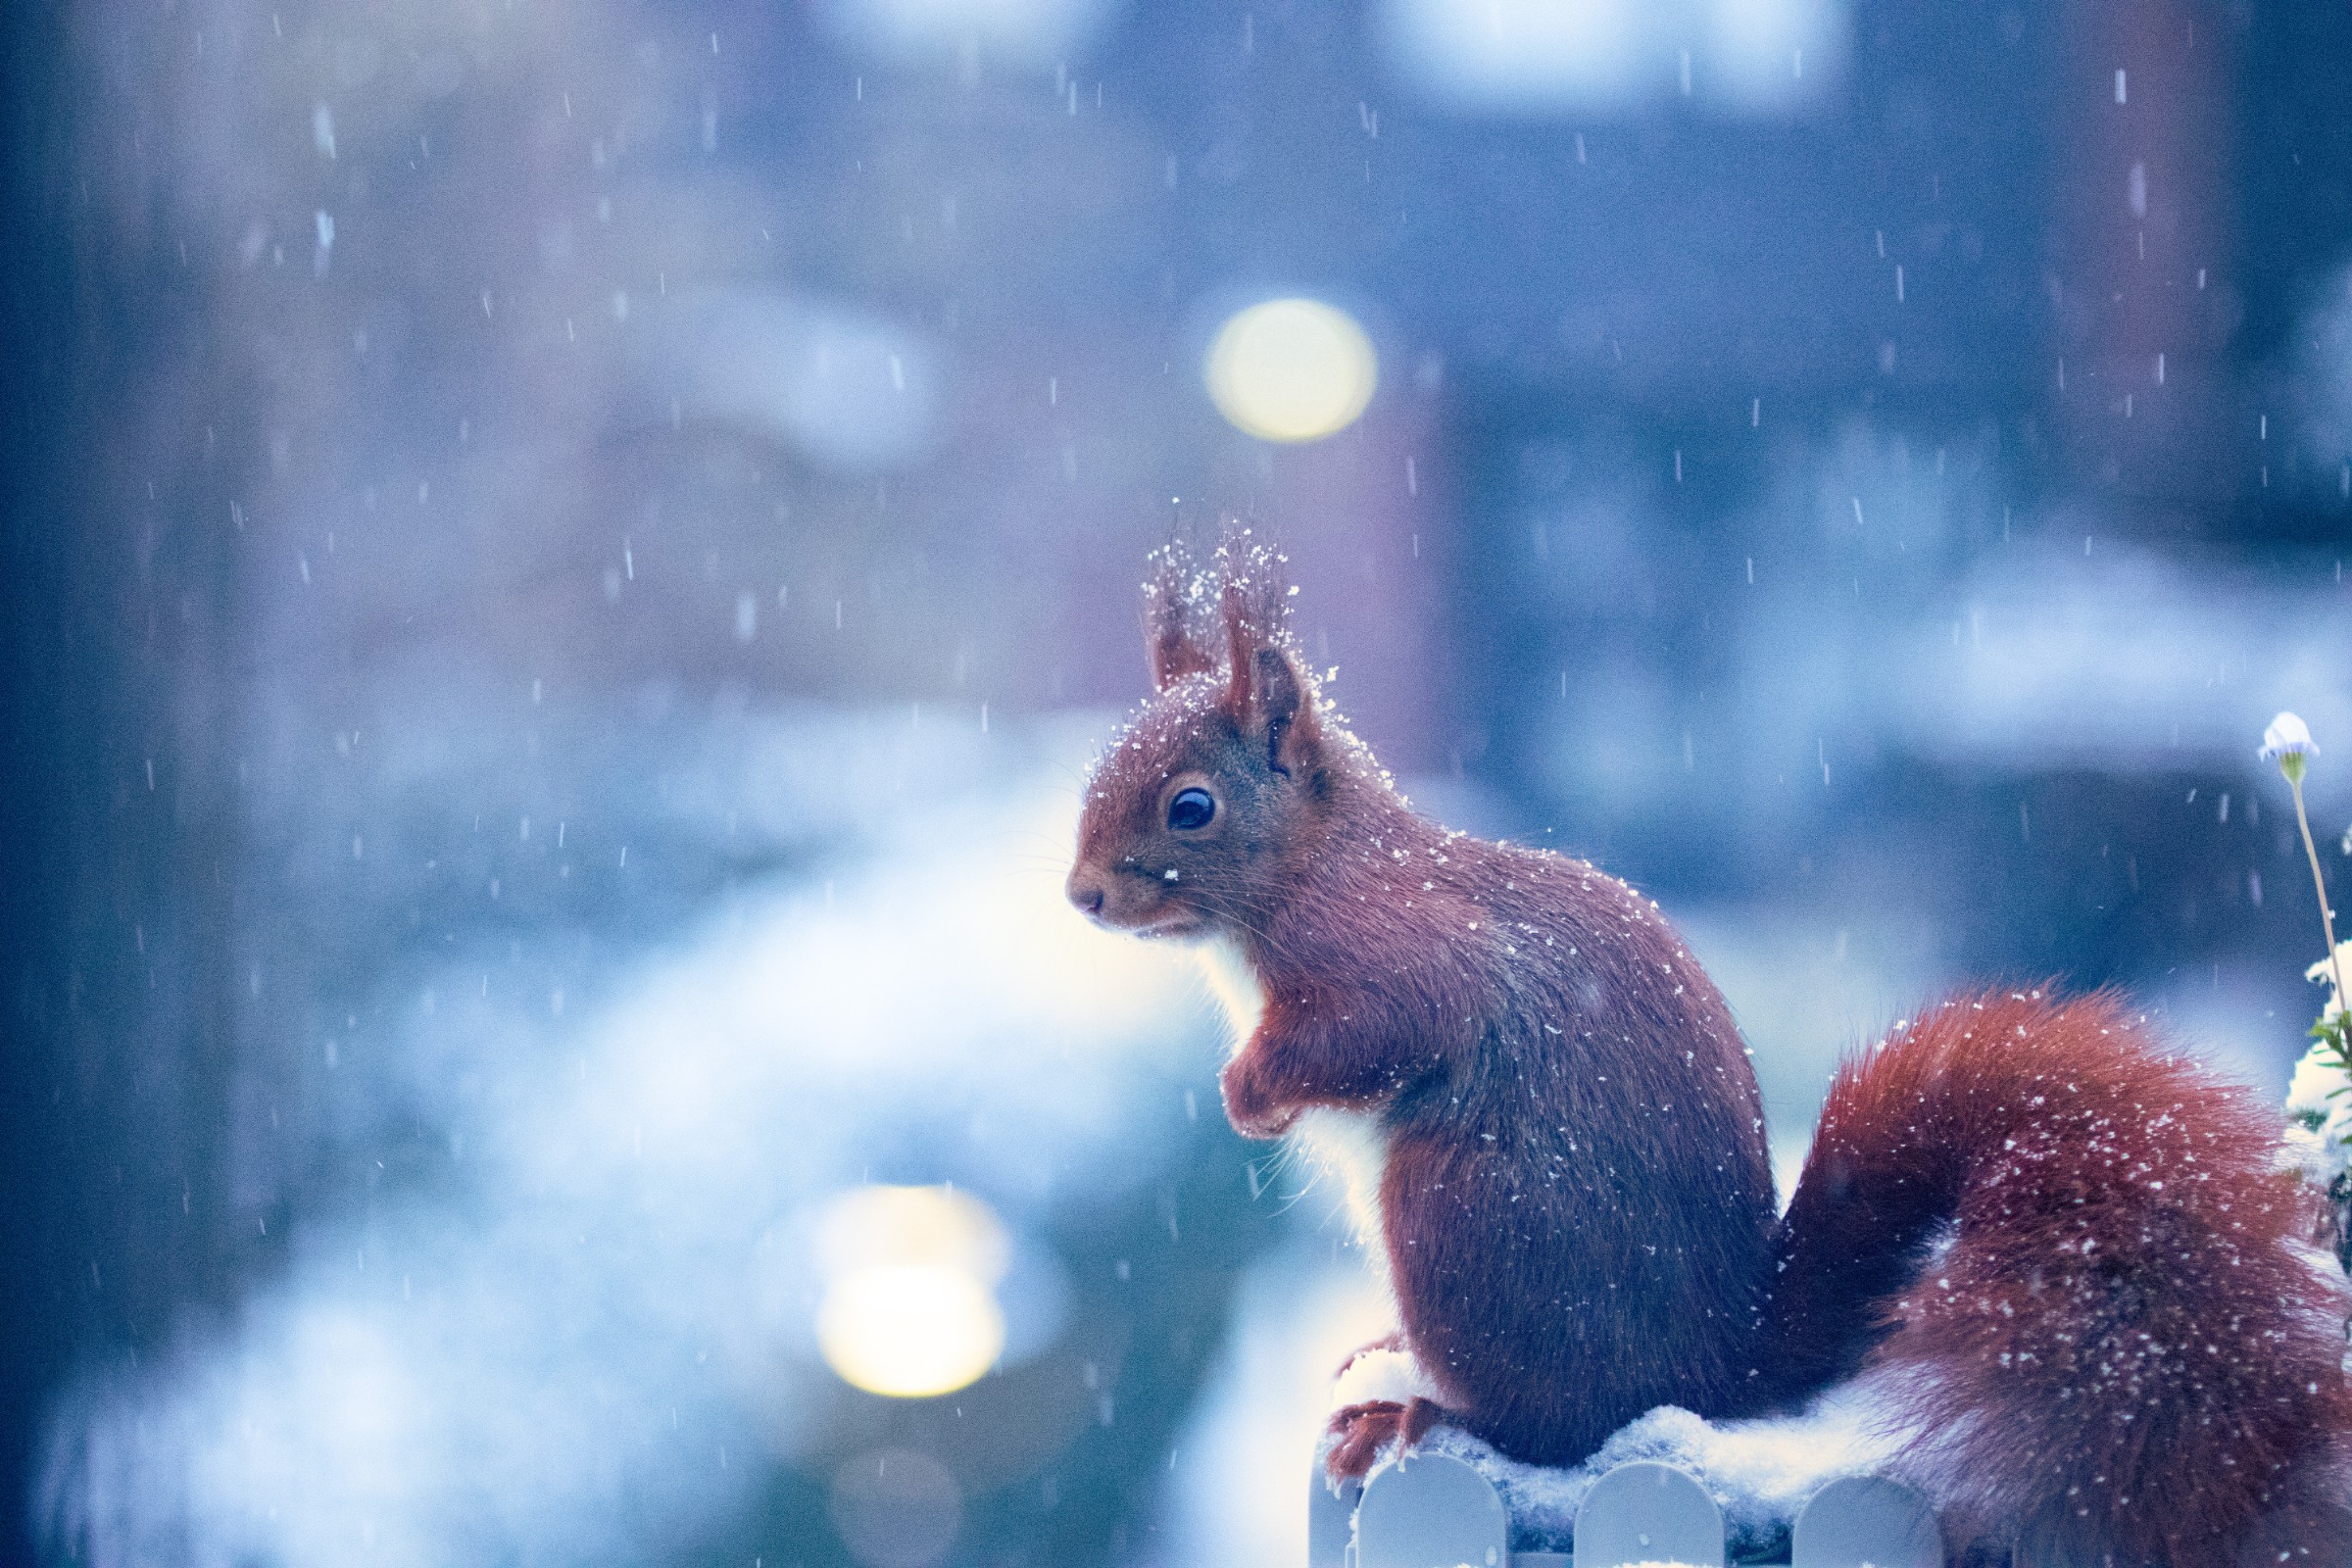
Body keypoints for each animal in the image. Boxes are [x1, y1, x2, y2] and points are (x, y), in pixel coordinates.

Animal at [1065, 533, 2352, 1566]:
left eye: (1190, 807)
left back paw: (1423, 1416)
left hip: (1460, 1215)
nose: (1080, 895)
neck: (1307, 872)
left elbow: (1380, 1031)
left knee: (1557, 1428)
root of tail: (1713, 1373)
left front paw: (1250, 1091)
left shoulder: (1392, 951)